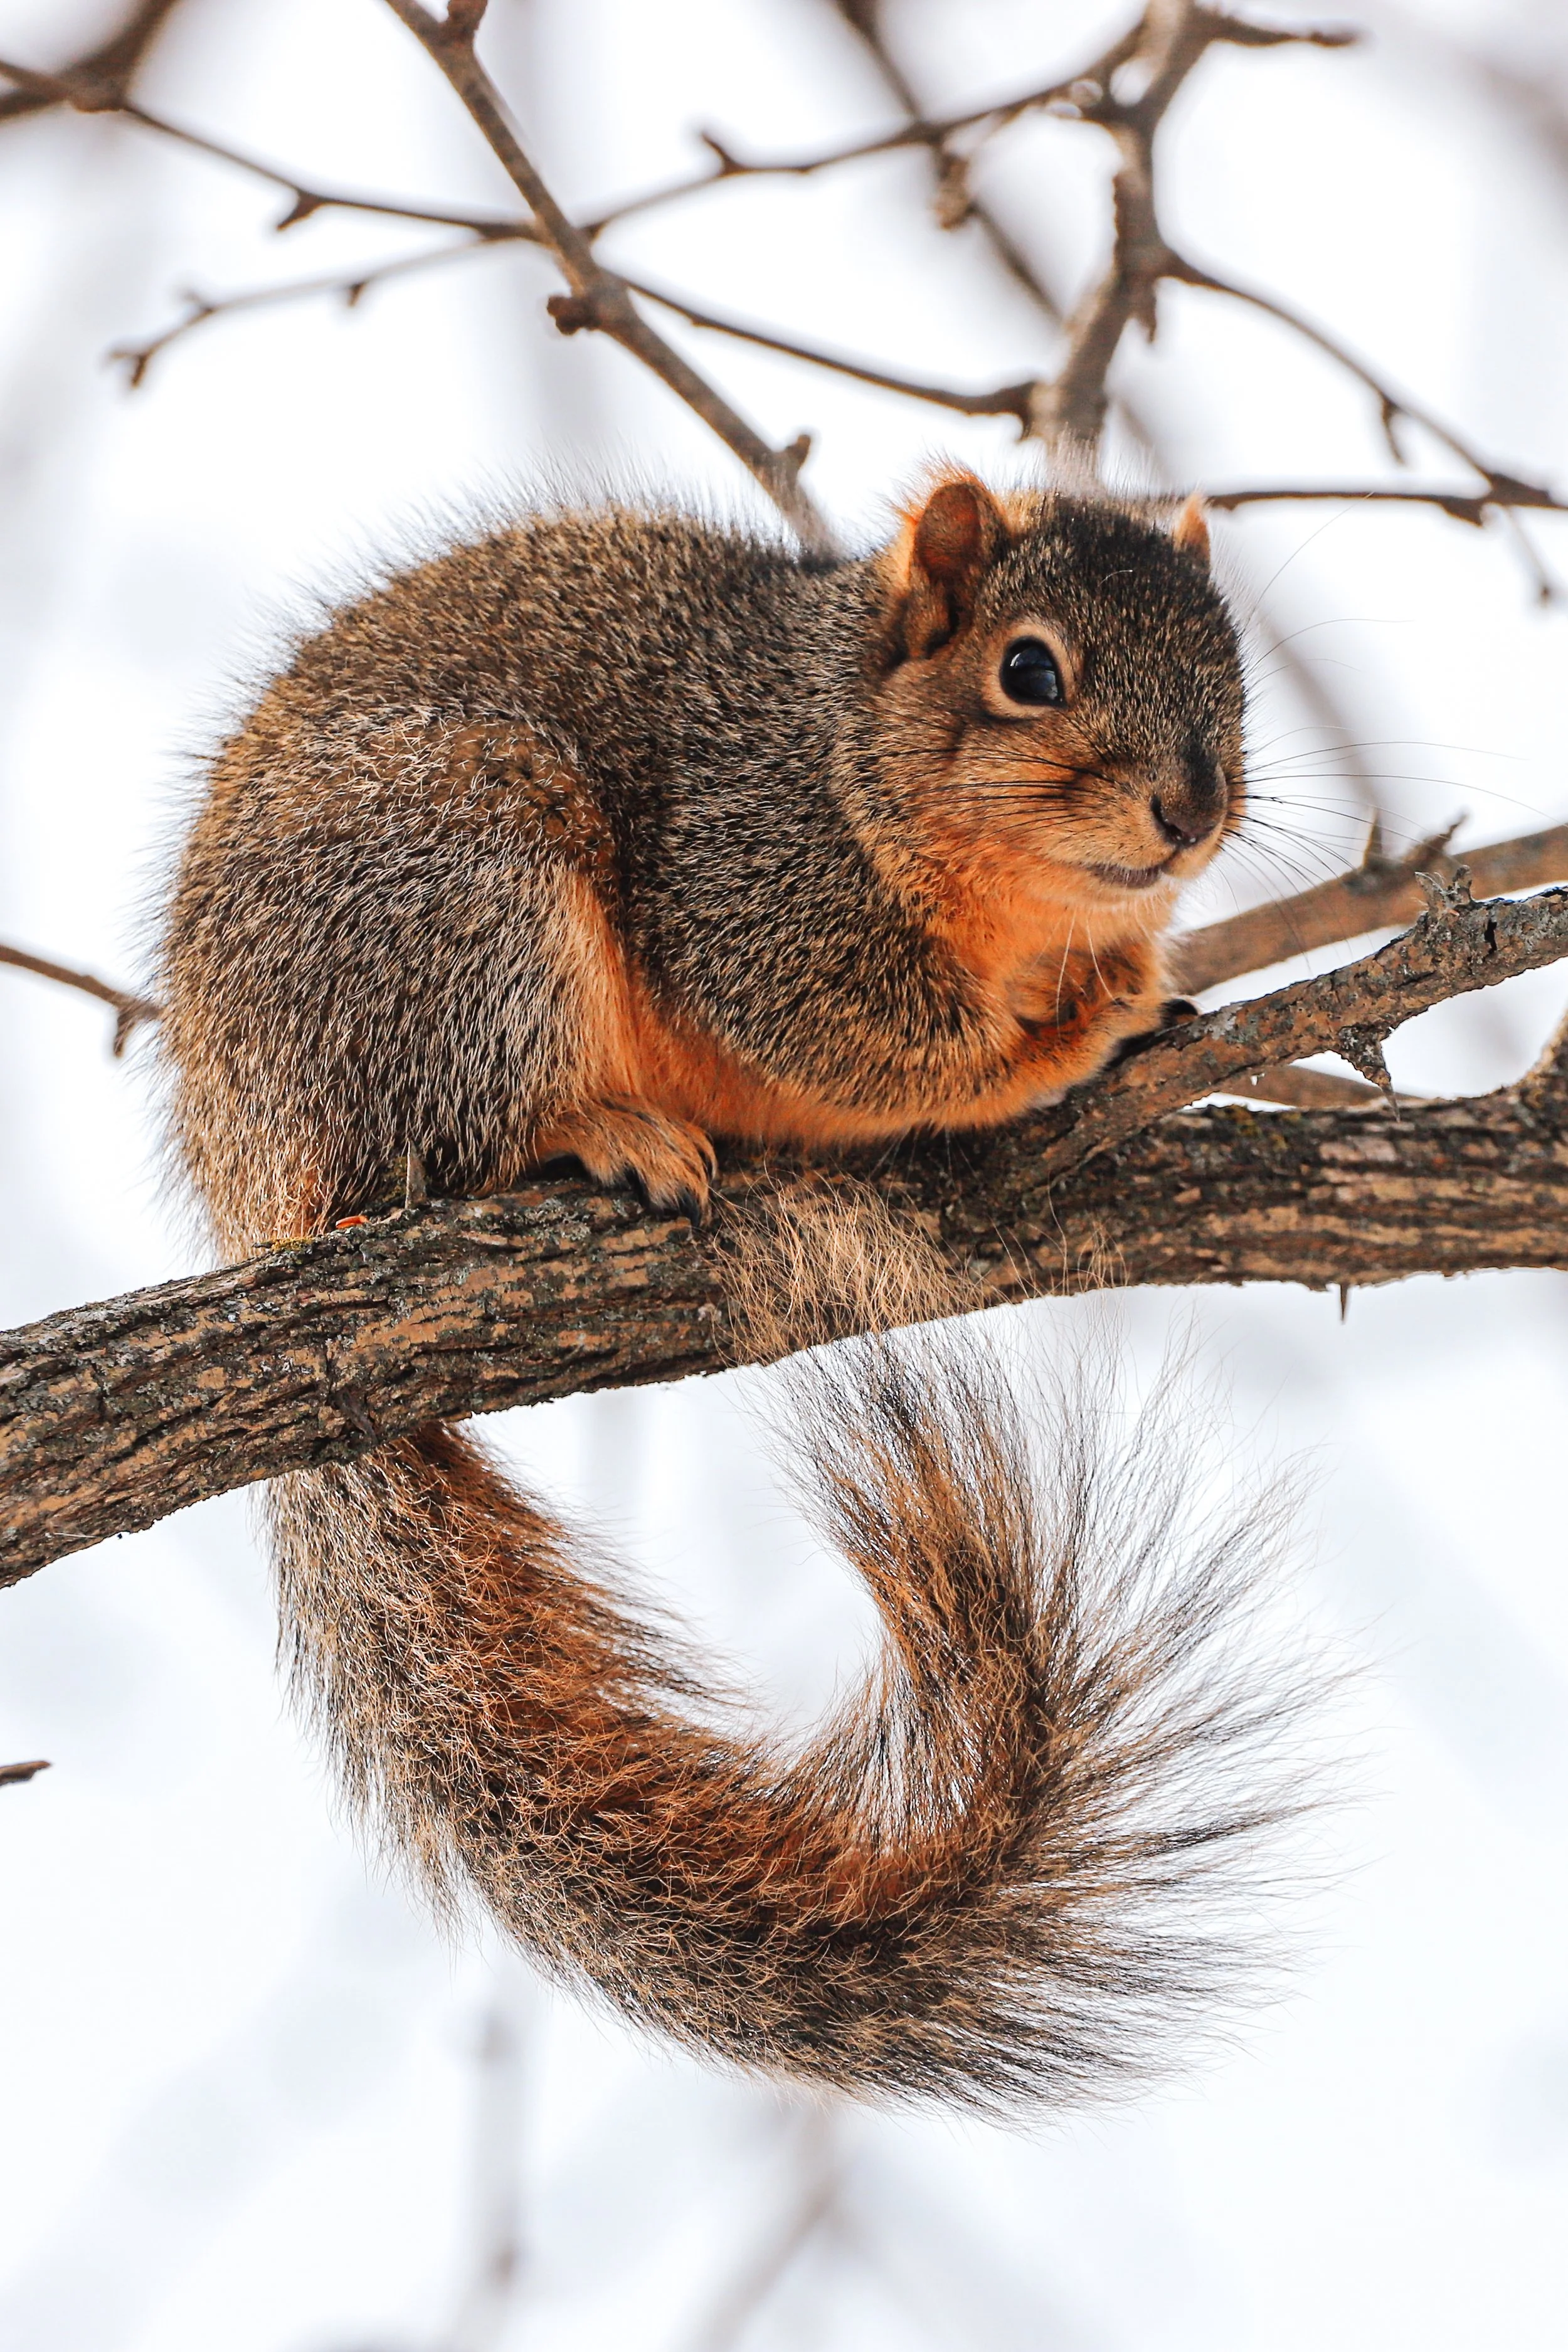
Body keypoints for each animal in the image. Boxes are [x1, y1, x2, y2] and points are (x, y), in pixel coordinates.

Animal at [157, 473, 1295, 2111]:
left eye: (1231, 663)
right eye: (1028, 670)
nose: (1193, 812)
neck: (842, 733)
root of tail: (251, 1187)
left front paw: (1130, 986)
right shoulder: (747, 875)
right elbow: (868, 1037)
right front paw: (1081, 1018)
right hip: (461, 894)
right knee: (446, 1140)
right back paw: (601, 1131)